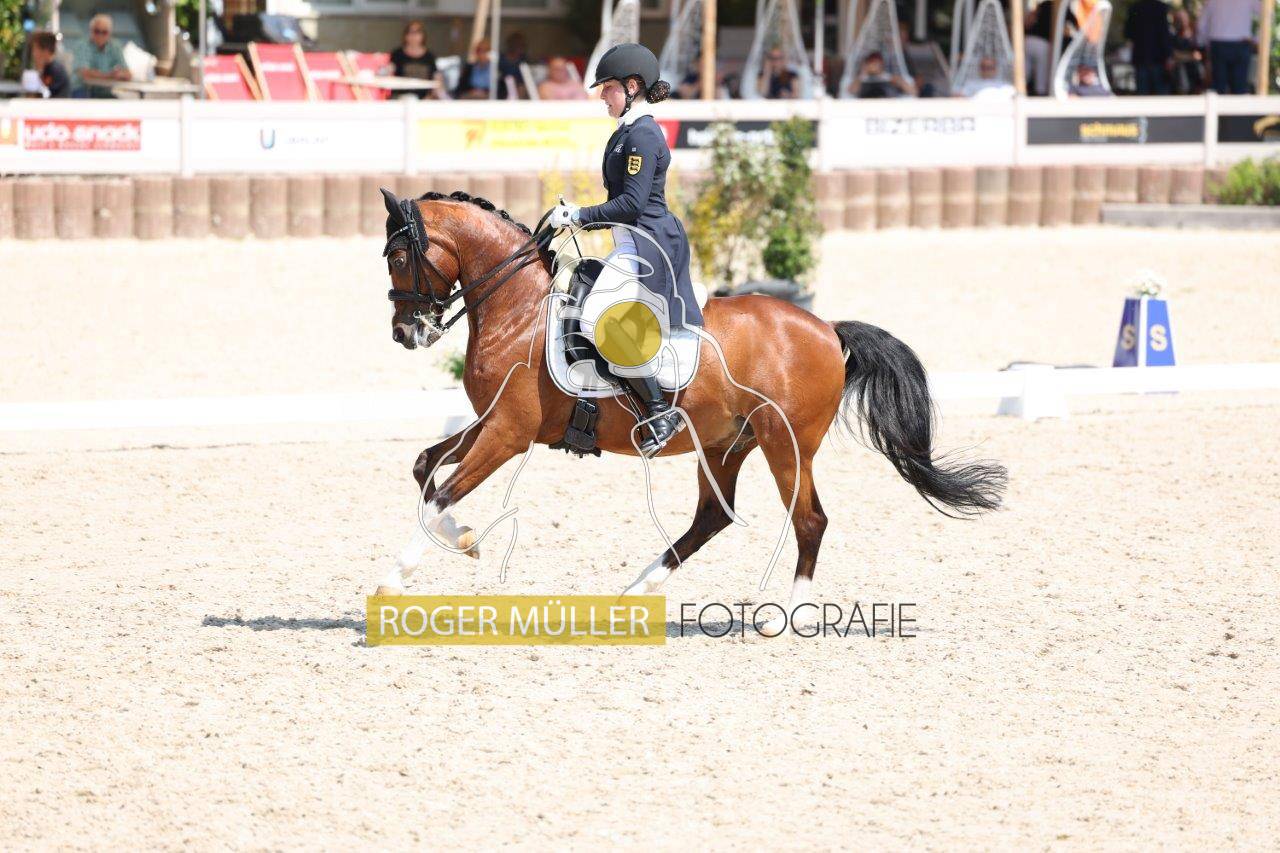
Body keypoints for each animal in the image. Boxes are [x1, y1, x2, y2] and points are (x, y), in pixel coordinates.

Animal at [374, 188, 1006, 621]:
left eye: (399, 258)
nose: (406, 334)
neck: (520, 309)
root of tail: (827, 329)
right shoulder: (494, 423)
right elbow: (426, 470)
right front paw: (466, 541)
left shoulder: (510, 431)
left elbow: (443, 490)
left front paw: (395, 577)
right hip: (726, 445)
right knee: (712, 517)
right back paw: (634, 591)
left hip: (786, 445)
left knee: (808, 519)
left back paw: (789, 616)